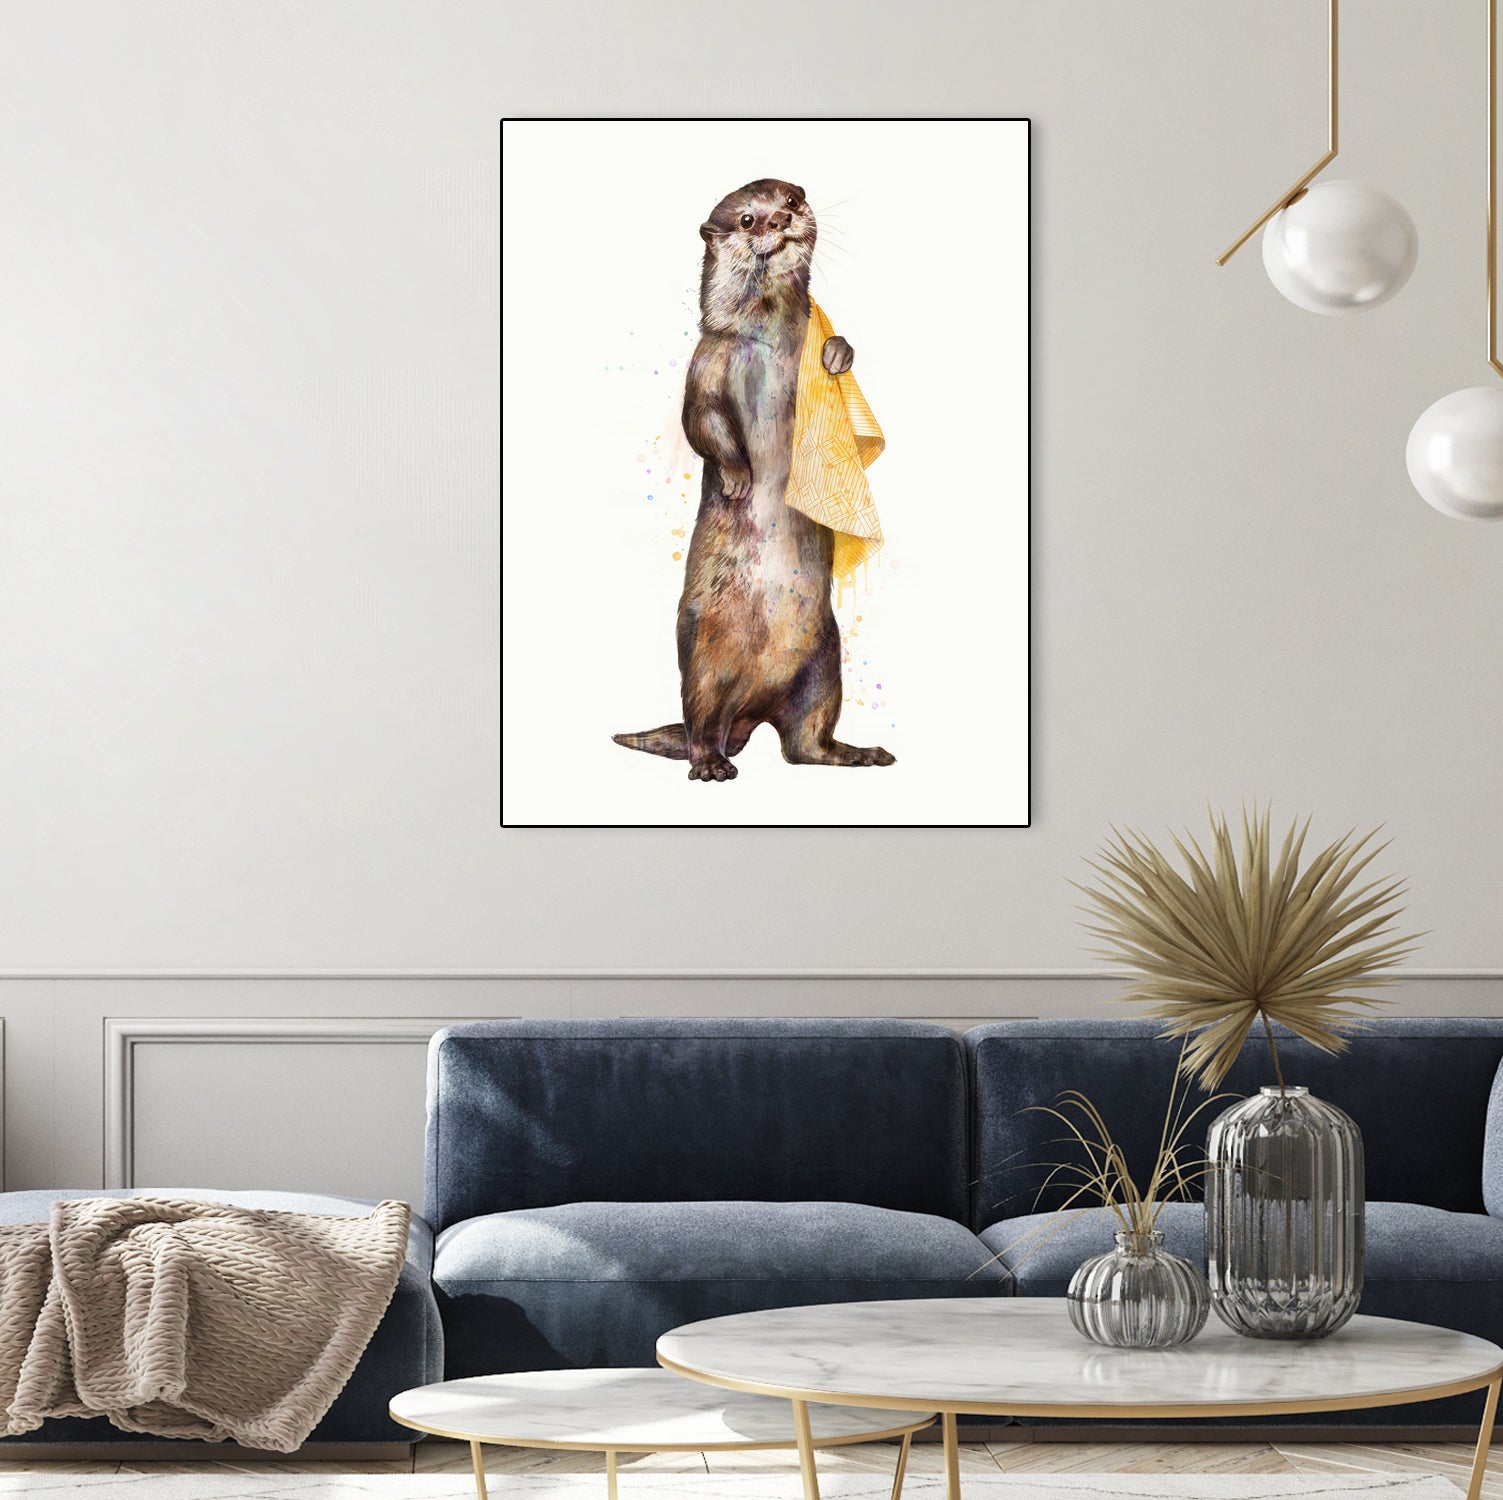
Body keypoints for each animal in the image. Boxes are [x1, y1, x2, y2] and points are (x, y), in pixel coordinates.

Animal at [613, 178, 896, 782]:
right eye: (746, 219)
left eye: (793, 197)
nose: (780, 219)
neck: (767, 339)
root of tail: (752, 709)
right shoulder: (708, 360)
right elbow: (702, 422)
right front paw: (739, 477)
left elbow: (841, 352)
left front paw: (837, 353)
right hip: (703, 659)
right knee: (702, 723)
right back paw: (711, 766)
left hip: (825, 669)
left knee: (804, 745)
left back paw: (858, 753)